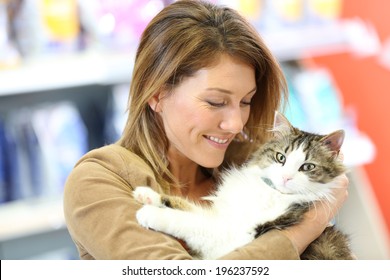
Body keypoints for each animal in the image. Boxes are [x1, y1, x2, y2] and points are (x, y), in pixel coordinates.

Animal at [133, 111, 354, 260]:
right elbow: (186, 206)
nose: (286, 178)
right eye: (280, 157)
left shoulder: (234, 236)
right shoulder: (224, 214)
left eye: (307, 166)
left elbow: (187, 221)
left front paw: (151, 214)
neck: (268, 192)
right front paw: (147, 194)